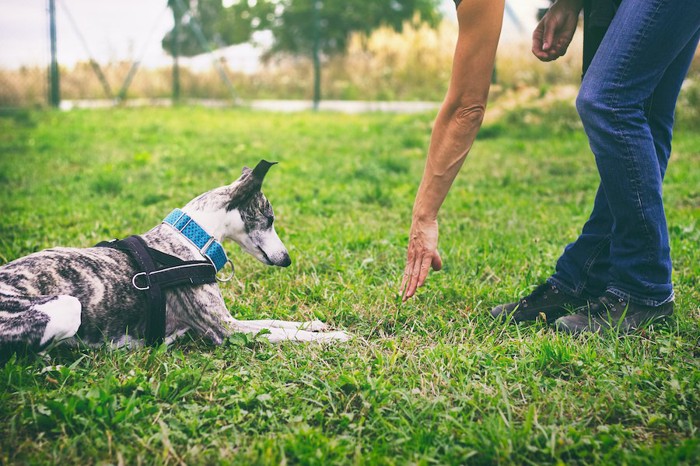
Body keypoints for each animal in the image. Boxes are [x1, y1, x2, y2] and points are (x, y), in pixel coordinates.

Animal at [0, 160, 350, 354]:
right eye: (270, 219)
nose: (287, 259)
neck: (190, 237)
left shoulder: (231, 320)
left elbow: (275, 322)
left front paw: (316, 325)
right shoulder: (226, 330)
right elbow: (285, 334)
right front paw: (334, 338)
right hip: (66, 307)